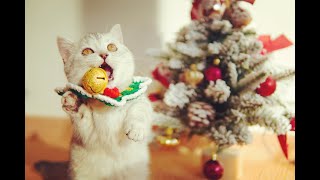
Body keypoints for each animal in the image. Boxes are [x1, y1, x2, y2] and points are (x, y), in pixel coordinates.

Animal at [57, 24, 154, 180]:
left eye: (111, 47)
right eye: (87, 51)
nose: (104, 55)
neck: (108, 101)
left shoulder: (140, 101)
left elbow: (140, 110)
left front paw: (136, 129)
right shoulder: (86, 133)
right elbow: (83, 119)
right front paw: (73, 101)